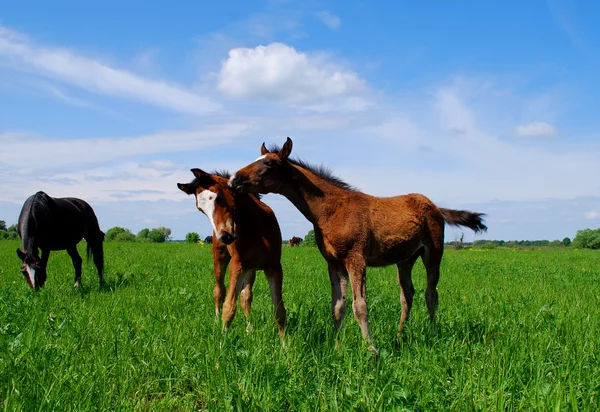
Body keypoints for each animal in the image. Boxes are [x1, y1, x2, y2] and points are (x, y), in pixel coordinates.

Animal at [177, 169, 288, 336]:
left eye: (219, 197)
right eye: (200, 209)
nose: (225, 236)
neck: (255, 226)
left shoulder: (273, 266)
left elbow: (279, 310)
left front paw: (285, 343)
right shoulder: (237, 265)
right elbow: (229, 307)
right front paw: (222, 339)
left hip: (251, 269)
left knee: (245, 297)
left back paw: (249, 328)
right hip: (221, 258)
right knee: (219, 291)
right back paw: (216, 321)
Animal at [230, 138, 488, 354]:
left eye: (269, 163)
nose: (234, 180)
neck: (331, 210)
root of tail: (436, 207)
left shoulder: (356, 259)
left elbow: (360, 306)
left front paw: (371, 351)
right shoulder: (334, 263)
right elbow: (338, 306)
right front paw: (336, 346)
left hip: (433, 253)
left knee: (431, 294)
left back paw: (432, 334)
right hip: (405, 259)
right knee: (407, 295)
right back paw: (399, 337)